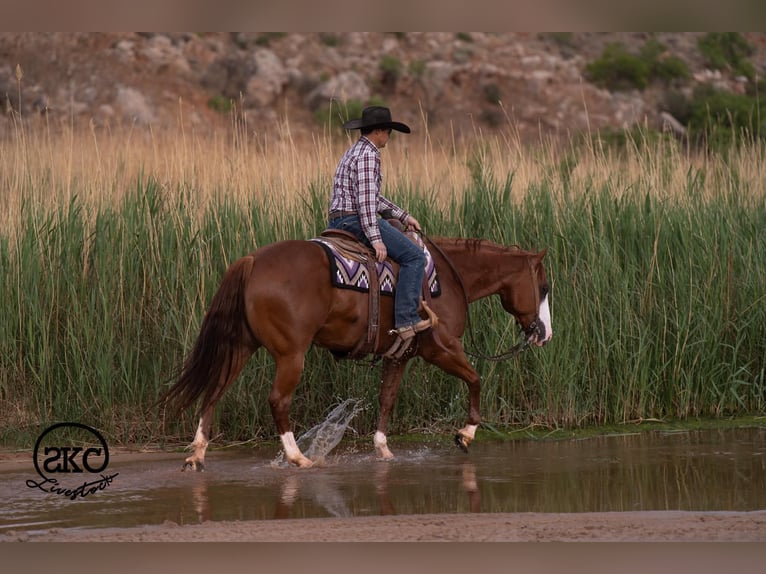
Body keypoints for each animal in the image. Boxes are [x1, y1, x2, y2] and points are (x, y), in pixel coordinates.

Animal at [159, 235, 552, 469]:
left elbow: (387, 399)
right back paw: (299, 458)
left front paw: (383, 450)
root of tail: (252, 261)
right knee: (277, 401)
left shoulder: (398, 355)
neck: (446, 279)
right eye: (545, 286)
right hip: (291, 355)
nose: (544, 334)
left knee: (214, 392)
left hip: (240, 346)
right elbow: (475, 379)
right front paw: (465, 434)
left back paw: (197, 454)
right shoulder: (442, 348)